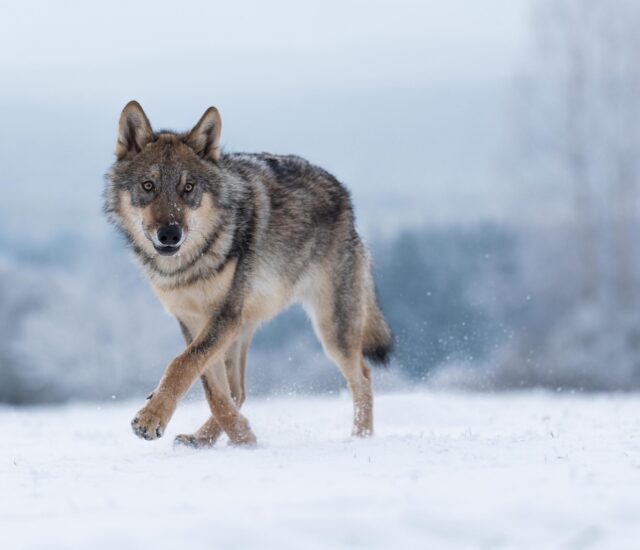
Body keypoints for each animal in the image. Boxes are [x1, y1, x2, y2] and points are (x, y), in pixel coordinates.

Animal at [104, 101, 392, 447]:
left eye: (188, 188)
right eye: (148, 186)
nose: (170, 235)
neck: (189, 266)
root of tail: (344, 194)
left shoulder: (225, 316)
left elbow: (182, 364)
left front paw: (151, 419)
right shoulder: (193, 321)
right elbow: (210, 386)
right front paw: (242, 435)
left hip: (331, 328)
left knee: (363, 376)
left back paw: (361, 438)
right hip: (245, 328)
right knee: (238, 391)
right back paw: (205, 438)